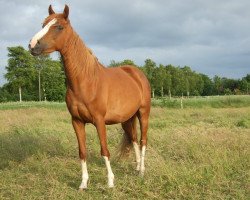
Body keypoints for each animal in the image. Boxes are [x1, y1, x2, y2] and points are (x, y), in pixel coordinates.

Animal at [29, 5, 150, 189]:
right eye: (43, 24)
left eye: (59, 27)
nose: (32, 45)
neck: (86, 82)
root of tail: (137, 73)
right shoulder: (77, 121)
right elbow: (82, 152)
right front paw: (83, 183)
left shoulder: (99, 121)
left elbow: (104, 150)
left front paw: (110, 182)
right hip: (127, 119)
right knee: (134, 140)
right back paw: (136, 169)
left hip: (143, 113)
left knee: (143, 141)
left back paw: (142, 171)